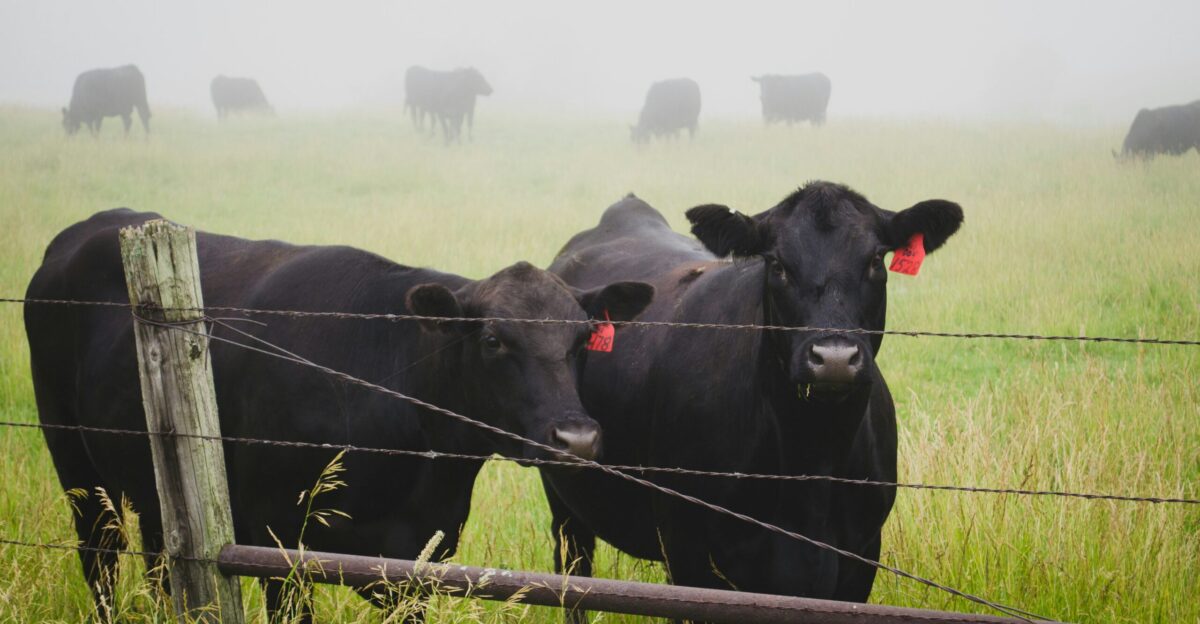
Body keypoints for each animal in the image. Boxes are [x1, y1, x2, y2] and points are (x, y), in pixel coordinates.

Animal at [25, 208, 653, 618]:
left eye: (582, 339)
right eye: (494, 340)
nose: (576, 438)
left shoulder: (420, 558)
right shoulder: (279, 545)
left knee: (160, 560)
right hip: (74, 465)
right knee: (101, 557)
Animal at [540, 182, 962, 621]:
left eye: (876, 259)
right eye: (776, 264)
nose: (834, 358)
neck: (813, 464)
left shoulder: (860, 557)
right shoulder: (686, 551)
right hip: (566, 501)